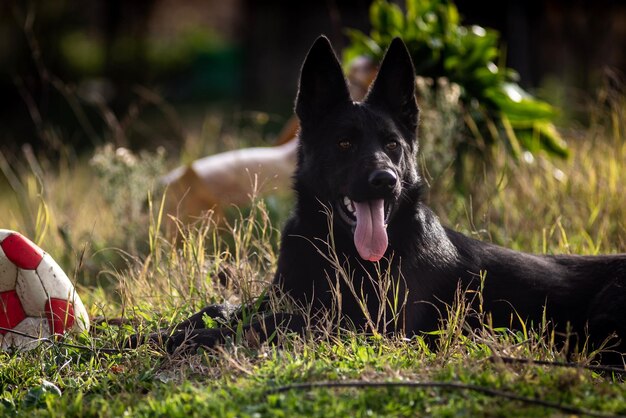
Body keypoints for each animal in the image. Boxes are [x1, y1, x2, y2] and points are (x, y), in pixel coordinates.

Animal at [141, 36, 624, 362]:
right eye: (344, 144)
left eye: (392, 145)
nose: (385, 180)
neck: (339, 250)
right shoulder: (284, 298)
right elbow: (218, 309)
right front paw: (148, 335)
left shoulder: (372, 328)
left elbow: (263, 325)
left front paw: (187, 339)